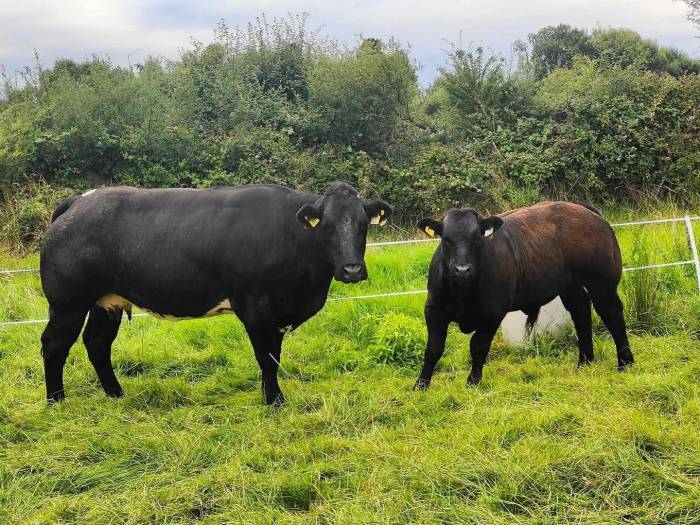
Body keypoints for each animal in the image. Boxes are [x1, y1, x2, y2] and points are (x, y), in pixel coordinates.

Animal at [40, 183, 392, 405]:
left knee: (97, 344)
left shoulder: (277, 313)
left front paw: (270, 396)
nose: (352, 269)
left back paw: (116, 394)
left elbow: (274, 357)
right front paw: (275, 401)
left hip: (106, 302)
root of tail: (79, 202)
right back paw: (57, 402)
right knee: (54, 345)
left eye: (364, 225)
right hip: (67, 303)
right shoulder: (255, 307)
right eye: (327, 227)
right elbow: (266, 358)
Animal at [413, 202, 634, 390]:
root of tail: (586, 210)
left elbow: (478, 347)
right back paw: (584, 362)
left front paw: (473, 382)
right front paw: (421, 385)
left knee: (612, 315)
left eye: (477, 238)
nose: (462, 269)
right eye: (446, 239)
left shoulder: (492, 314)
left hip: (603, 285)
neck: (463, 291)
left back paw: (625, 363)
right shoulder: (433, 309)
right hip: (570, 287)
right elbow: (433, 349)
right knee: (581, 314)